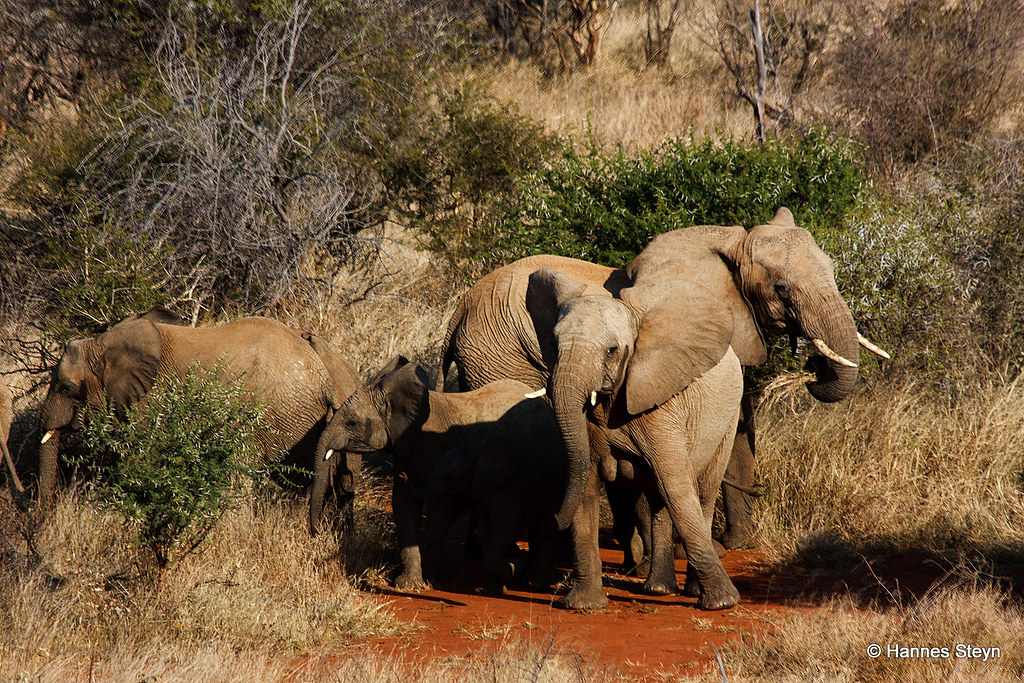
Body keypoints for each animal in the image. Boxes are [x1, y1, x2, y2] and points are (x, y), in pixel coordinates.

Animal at [35, 307, 347, 506]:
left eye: (67, 388)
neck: (102, 343)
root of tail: (325, 379)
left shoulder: (152, 401)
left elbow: (140, 457)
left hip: (278, 413)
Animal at [310, 356, 567, 591]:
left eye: (351, 423)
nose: (316, 532)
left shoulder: (435, 448)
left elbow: (445, 504)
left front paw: (445, 572)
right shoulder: (407, 448)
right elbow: (403, 504)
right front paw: (409, 584)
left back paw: (526, 576)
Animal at [434, 208, 889, 606]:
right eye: (781, 289)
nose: (812, 370)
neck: (728, 244)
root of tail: (459, 309)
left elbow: (736, 428)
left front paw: (726, 545)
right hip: (500, 358)